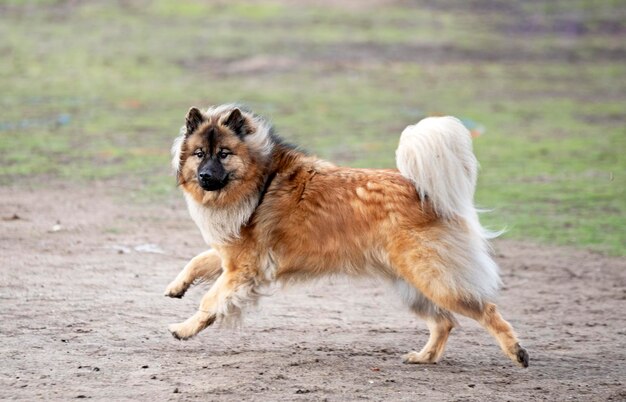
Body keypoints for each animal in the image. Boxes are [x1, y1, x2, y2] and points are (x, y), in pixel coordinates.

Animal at [165, 104, 528, 368]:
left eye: (224, 153)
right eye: (199, 153)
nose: (205, 176)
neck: (260, 178)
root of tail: (425, 190)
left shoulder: (243, 269)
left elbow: (210, 301)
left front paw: (184, 329)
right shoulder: (233, 257)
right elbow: (197, 262)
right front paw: (176, 287)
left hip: (434, 280)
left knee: (486, 310)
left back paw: (517, 352)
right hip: (411, 286)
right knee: (444, 323)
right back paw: (424, 357)